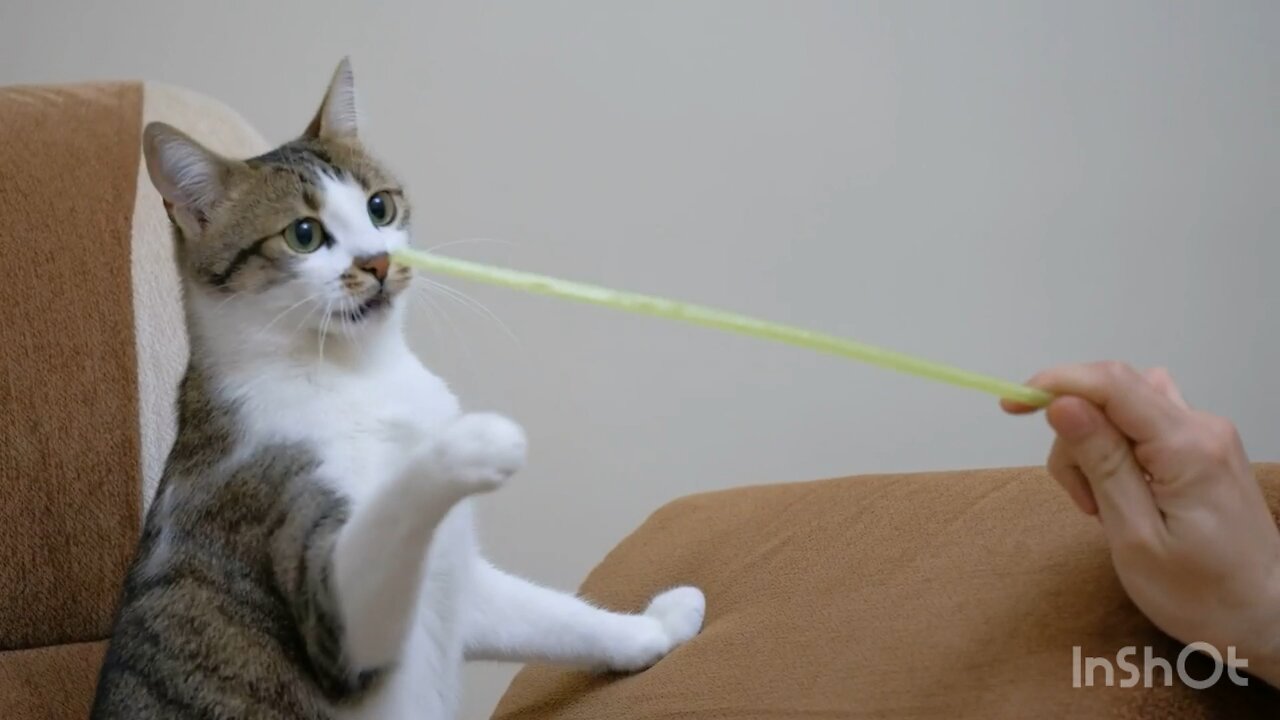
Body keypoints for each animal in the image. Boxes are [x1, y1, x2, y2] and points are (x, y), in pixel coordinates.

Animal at [91, 57, 706, 717]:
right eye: (303, 234)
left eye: (380, 207)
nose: (378, 261)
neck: (360, 373)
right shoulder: (328, 608)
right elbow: (391, 513)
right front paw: (471, 444)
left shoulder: (457, 579)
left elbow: (561, 618)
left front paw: (657, 627)